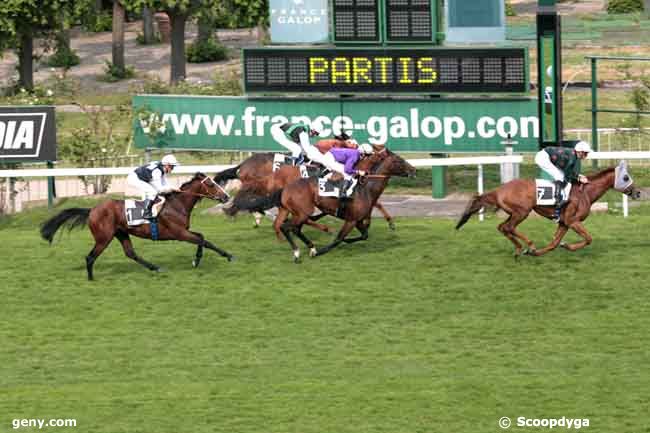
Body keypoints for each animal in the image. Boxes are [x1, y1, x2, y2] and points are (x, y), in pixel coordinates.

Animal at [40, 172, 233, 280]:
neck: (177, 204)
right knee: (90, 257)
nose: (226, 197)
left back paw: (155, 267)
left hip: (121, 233)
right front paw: (226, 256)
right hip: (104, 238)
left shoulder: (183, 231)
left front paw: (199, 259)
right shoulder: (179, 234)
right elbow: (204, 241)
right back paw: (91, 279)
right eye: (211, 184)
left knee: (130, 253)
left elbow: (202, 237)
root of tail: (92, 210)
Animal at [215, 138, 394, 233]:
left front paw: (389, 221)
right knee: (248, 203)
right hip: (261, 187)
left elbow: (376, 203)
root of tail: (243, 165)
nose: (389, 154)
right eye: (383, 153)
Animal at [229, 147, 416, 262]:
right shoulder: (351, 220)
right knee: (288, 227)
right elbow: (339, 238)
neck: (366, 188)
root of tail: (285, 187)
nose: (414, 170)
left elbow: (364, 234)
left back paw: (306, 247)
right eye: (399, 161)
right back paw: (302, 251)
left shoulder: (357, 220)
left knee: (287, 227)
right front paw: (323, 249)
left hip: (291, 210)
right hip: (302, 212)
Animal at [454, 162, 640, 256]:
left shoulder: (564, 222)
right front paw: (567, 246)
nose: (637, 192)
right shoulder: (573, 221)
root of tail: (499, 189)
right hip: (522, 211)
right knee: (509, 227)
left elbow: (554, 243)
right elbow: (588, 238)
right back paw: (529, 245)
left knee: (502, 227)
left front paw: (546, 250)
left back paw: (520, 249)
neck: (585, 192)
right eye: (626, 177)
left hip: (514, 212)